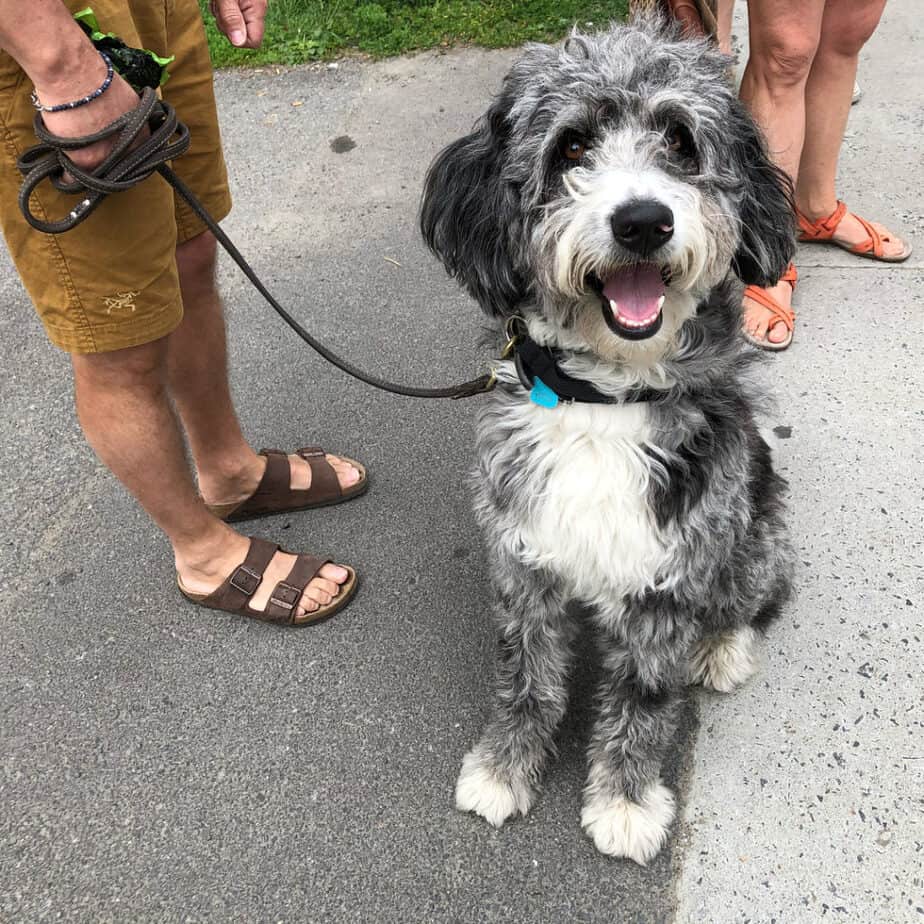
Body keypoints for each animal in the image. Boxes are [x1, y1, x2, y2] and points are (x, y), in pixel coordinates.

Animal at [422, 16, 796, 868]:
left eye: (681, 140)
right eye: (571, 147)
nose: (642, 221)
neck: (606, 400)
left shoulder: (667, 577)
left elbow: (644, 698)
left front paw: (624, 802)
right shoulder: (522, 562)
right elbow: (526, 679)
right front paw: (505, 769)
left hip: (754, 534)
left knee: (748, 598)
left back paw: (721, 650)